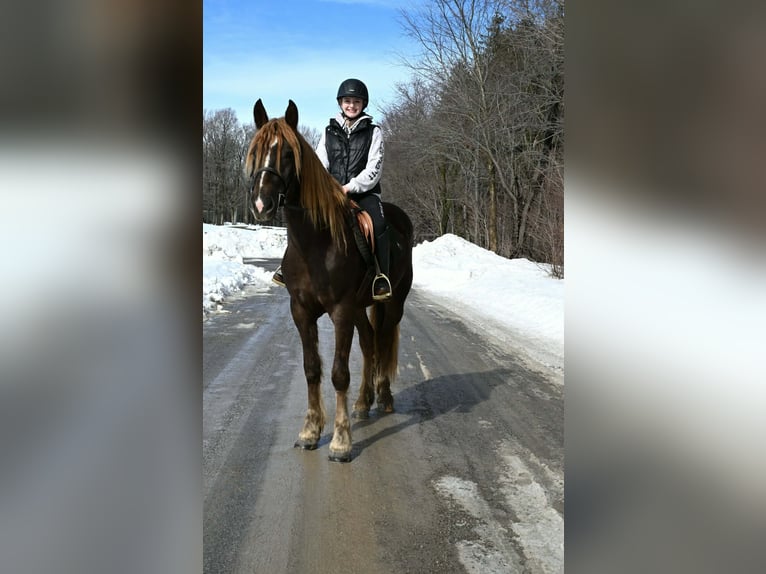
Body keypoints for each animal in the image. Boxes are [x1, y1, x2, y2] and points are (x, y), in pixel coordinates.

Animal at [246, 99, 413, 462]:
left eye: (286, 154)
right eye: (255, 152)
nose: (262, 204)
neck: (315, 243)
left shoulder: (340, 312)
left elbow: (338, 373)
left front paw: (341, 441)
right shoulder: (301, 311)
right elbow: (312, 369)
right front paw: (310, 432)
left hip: (392, 303)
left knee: (382, 340)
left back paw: (384, 398)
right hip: (360, 309)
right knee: (370, 344)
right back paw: (363, 403)